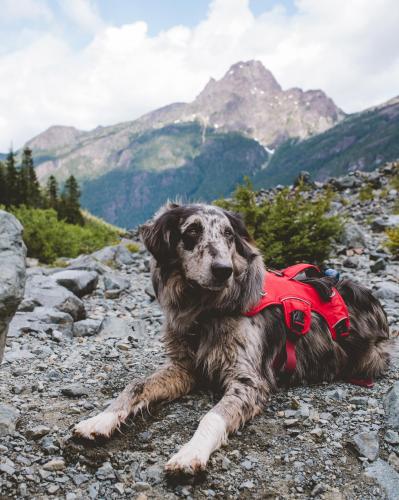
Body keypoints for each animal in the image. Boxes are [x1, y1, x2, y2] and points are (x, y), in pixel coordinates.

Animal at [74, 202, 396, 472]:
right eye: (192, 230)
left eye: (228, 234)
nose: (223, 270)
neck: (204, 313)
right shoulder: (184, 367)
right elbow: (135, 385)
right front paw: (99, 420)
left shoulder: (250, 381)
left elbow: (212, 416)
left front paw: (191, 453)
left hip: (369, 359)